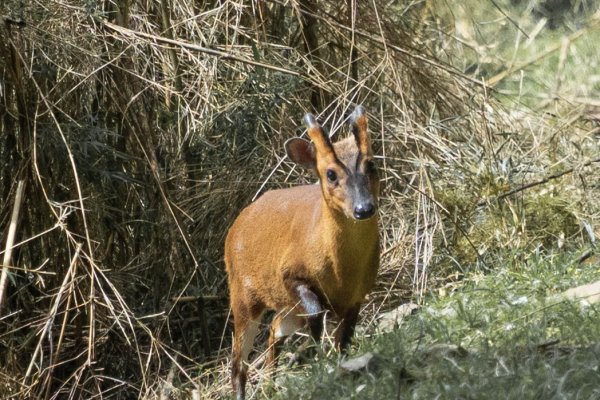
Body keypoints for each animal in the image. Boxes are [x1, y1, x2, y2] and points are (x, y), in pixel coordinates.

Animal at [225, 106, 380, 400]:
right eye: (330, 174)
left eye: (371, 164)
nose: (363, 208)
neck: (342, 273)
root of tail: (235, 226)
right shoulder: (290, 275)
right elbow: (317, 313)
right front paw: (307, 356)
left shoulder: (358, 296)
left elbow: (343, 342)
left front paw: (330, 365)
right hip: (243, 296)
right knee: (238, 362)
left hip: (285, 307)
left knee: (274, 329)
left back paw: (272, 384)